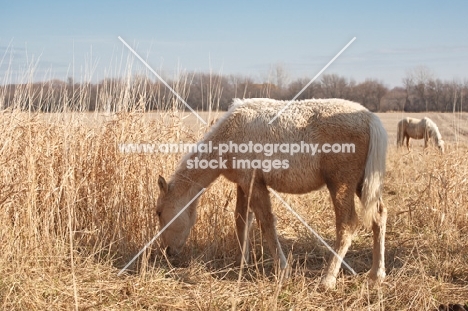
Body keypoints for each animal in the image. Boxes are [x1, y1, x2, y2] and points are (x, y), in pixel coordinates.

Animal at [157, 98, 388, 290]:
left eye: (158, 212)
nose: (167, 252)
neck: (228, 136)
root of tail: (370, 118)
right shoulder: (244, 184)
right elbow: (241, 219)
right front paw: (243, 262)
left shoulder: (255, 184)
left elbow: (266, 223)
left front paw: (283, 269)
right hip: (361, 183)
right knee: (379, 216)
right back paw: (376, 274)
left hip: (341, 183)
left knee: (347, 224)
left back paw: (328, 279)